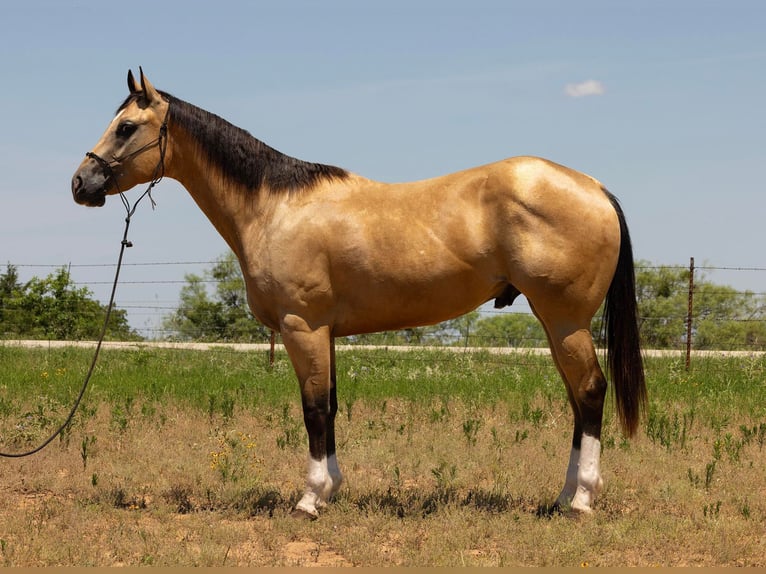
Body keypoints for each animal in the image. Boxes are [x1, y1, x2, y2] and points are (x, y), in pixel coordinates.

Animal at [72, 70, 648, 520]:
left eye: (126, 127)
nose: (81, 183)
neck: (274, 207)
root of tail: (594, 188)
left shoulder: (303, 327)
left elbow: (312, 409)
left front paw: (309, 500)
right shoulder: (324, 332)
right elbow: (330, 405)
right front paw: (330, 490)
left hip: (566, 320)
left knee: (590, 392)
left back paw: (580, 502)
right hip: (555, 325)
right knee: (576, 400)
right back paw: (562, 497)